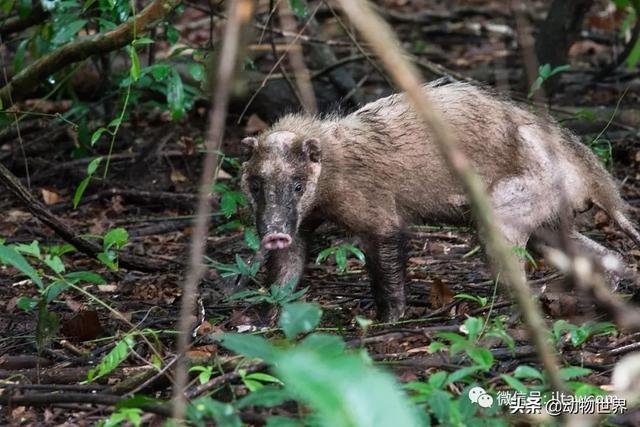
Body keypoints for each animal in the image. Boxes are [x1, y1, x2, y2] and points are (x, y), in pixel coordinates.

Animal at [240, 81, 640, 320]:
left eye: (297, 185)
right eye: (256, 184)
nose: (273, 233)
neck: (332, 162)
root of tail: (591, 173)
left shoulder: (375, 209)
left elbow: (387, 256)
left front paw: (388, 318)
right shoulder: (300, 221)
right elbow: (289, 262)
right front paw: (271, 312)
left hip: (512, 202)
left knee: (514, 262)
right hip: (548, 216)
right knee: (580, 247)